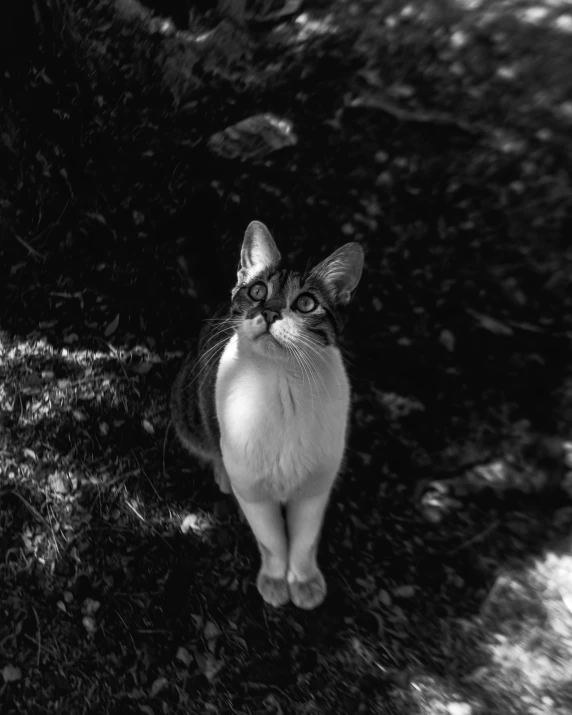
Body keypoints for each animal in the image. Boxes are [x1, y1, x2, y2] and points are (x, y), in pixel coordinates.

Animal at [172, 220, 364, 608]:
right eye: (258, 291)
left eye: (306, 303)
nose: (271, 311)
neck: (280, 385)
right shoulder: (253, 489)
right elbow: (272, 539)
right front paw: (276, 579)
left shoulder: (316, 485)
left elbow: (304, 539)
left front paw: (303, 581)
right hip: (189, 410)